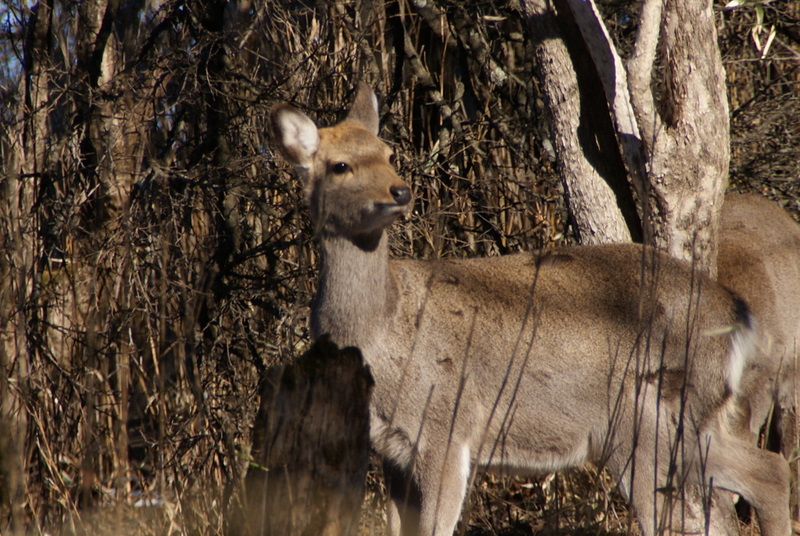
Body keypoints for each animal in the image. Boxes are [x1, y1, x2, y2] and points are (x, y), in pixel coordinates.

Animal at [268, 84, 788, 536]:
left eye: (388, 153)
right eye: (339, 165)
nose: (400, 191)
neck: (382, 328)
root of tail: (738, 314)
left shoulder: (446, 424)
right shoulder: (392, 449)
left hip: (652, 420)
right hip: (684, 421)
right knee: (768, 471)